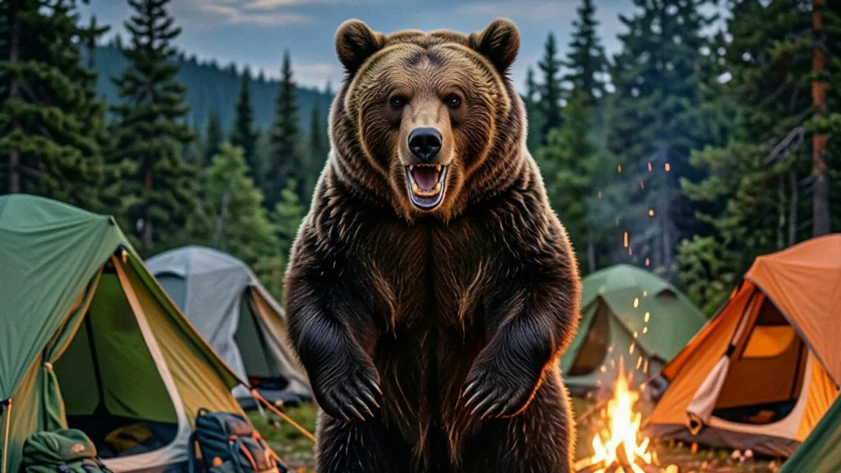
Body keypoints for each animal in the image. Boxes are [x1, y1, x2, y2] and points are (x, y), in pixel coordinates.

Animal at [284, 18, 581, 473]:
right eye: (396, 98)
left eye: (454, 98)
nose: (425, 140)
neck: (429, 219)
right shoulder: (352, 218)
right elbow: (321, 285)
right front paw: (352, 387)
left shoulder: (507, 216)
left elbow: (543, 281)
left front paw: (488, 387)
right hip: (374, 429)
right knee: (351, 453)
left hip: (529, 417)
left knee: (532, 451)